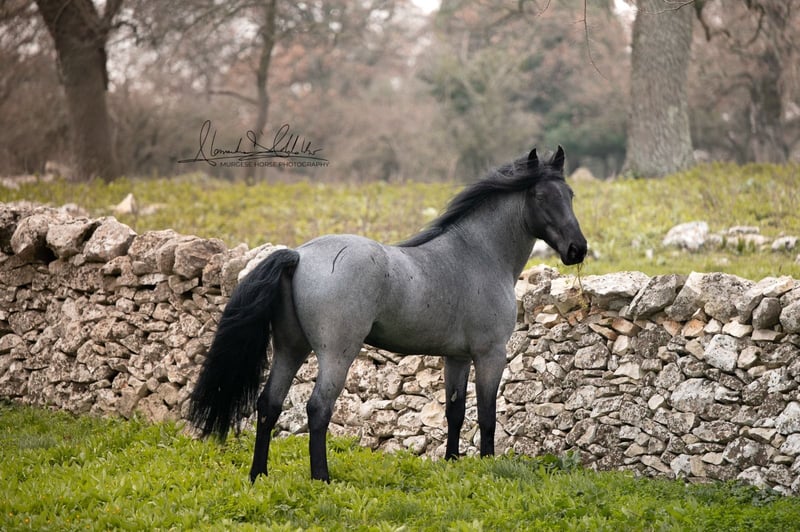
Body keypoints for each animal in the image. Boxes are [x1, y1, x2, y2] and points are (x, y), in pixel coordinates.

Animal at [189, 146, 587, 482]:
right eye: (541, 196)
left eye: (569, 195)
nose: (577, 249)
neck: (478, 254)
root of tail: (300, 255)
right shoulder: (490, 354)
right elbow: (487, 416)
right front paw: (487, 467)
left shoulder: (456, 357)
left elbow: (455, 412)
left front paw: (452, 462)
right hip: (337, 354)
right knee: (318, 409)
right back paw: (322, 478)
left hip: (291, 349)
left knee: (268, 405)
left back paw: (259, 474)